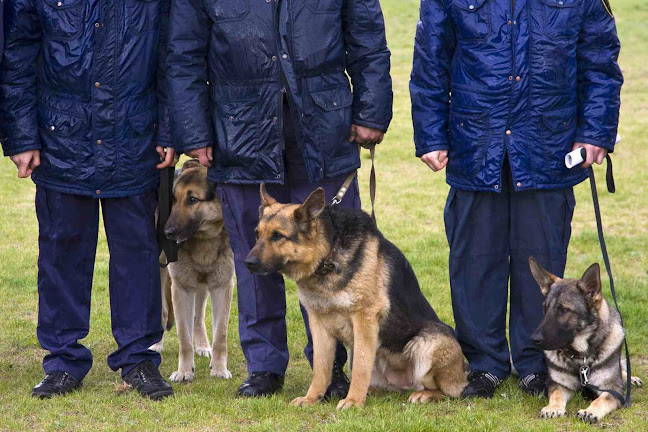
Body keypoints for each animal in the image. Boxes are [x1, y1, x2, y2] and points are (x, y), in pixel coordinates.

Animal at [150, 160, 235, 384]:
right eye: (173, 200)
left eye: (192, 200)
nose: (166, 233)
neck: (205, 239)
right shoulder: (182, 288)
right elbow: (183, 337)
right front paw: (184, 372)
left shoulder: (222, 287)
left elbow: (220, 336)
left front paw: (219, 369)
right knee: (163, 311)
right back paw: (156, 343)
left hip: (202, 285)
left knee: (198, 317)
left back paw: (203, 345)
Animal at [246, 186, 468, 408]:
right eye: (257, 234)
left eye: (277, 236)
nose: (247, 263)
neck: (328, 255)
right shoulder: (318, 323)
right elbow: (320, 368)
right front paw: (311, 398)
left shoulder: (364, 319)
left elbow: (361, 366)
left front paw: (353, 401)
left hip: (429, 343)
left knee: (448, 391)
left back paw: (424, 394)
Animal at [528, 258, 640, 424]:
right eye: (545, 308)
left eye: (564, 310)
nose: (534, 340)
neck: (580, 358)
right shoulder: (559, 384)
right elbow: (556, 395)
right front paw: (553, 408)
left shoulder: (612, 389)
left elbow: (601, 399)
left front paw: (589, 411)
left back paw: (630, 378)